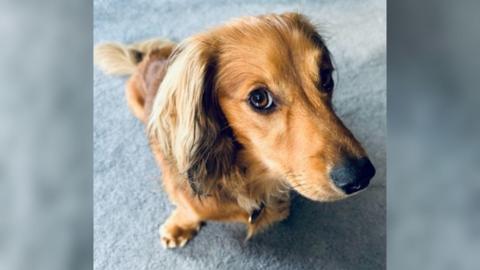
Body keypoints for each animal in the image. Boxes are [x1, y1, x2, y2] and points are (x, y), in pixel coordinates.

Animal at [94, 12, 376, 249]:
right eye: (259, 98)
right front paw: (180, 226)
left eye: (326, 77)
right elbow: (188, 208)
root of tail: (148, 57)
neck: (248, 175)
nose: (361, 176)